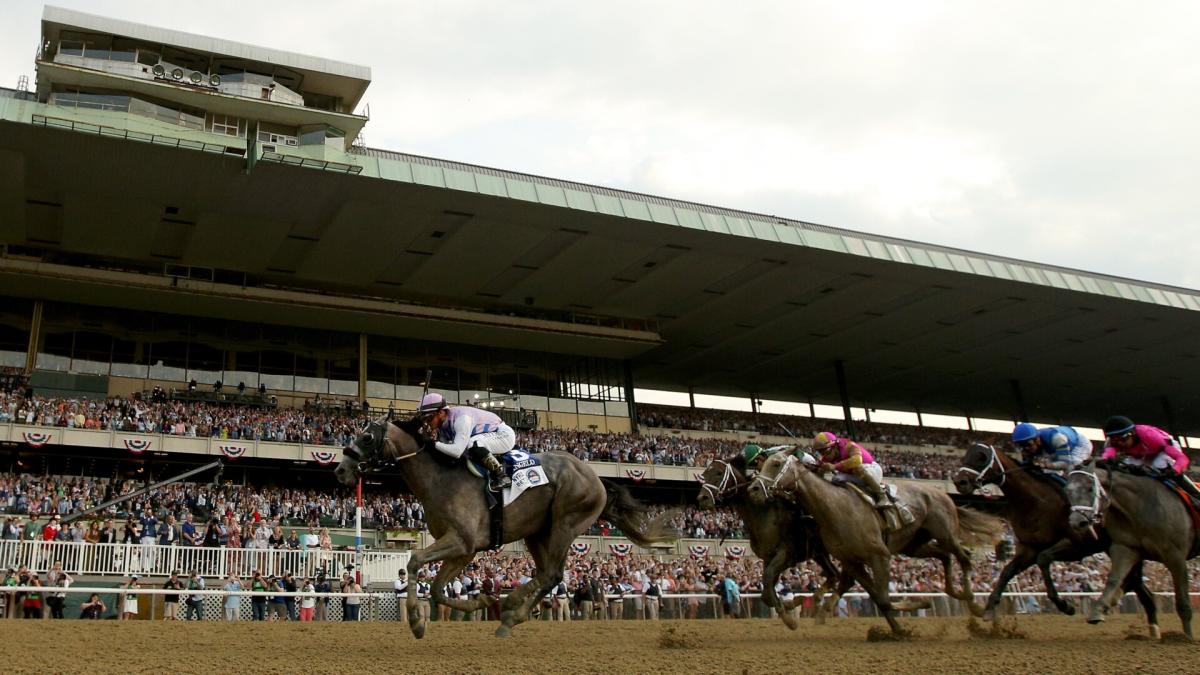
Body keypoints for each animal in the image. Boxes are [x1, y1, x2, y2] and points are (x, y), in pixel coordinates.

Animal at [333, 415, 681, 634]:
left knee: (552, 573)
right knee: (549, 574)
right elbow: (437, 589)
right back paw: (512, 613)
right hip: (537, 532)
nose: (340, 469)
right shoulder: (465, 550)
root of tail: (596, 477)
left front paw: (417, 622)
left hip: (566, 523)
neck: (441, 479)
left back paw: (513, 607)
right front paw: (481, 601)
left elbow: (416, 560)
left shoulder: (462, 541)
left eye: (367, 436)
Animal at [696, 454, 844, 629]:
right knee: (834, 575)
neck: (762, 513)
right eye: (705, 473)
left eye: (719, 473)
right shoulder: (768, 557)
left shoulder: (786, 554)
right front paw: (790, 605)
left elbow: (767, 581)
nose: (702, 498)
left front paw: (789, 616)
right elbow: (766, 591)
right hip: (819, 553)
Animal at [748, 449, 1003, 634]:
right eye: (762, 463)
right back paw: (955, 593)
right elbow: (879, 597)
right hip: (914, 545)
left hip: (945, 533)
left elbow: (883, 597)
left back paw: (973, 602)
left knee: (963, 557)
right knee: (944, 556)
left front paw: (911, 613)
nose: (753, 489)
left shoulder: (879, 555)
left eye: (776, 463)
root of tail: (944, 494)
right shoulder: (852, 561)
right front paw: (903, 624)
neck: (834, 509)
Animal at [1065, 466, 1195, 638]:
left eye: (1090, 488)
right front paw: (1098, 610)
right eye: (1068, 491)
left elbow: (1183, 602)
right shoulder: (1126, 548)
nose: (1076, 522)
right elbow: (1114, 579)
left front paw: (1187, 637)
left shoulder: (1176, 557)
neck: (1141, 507)